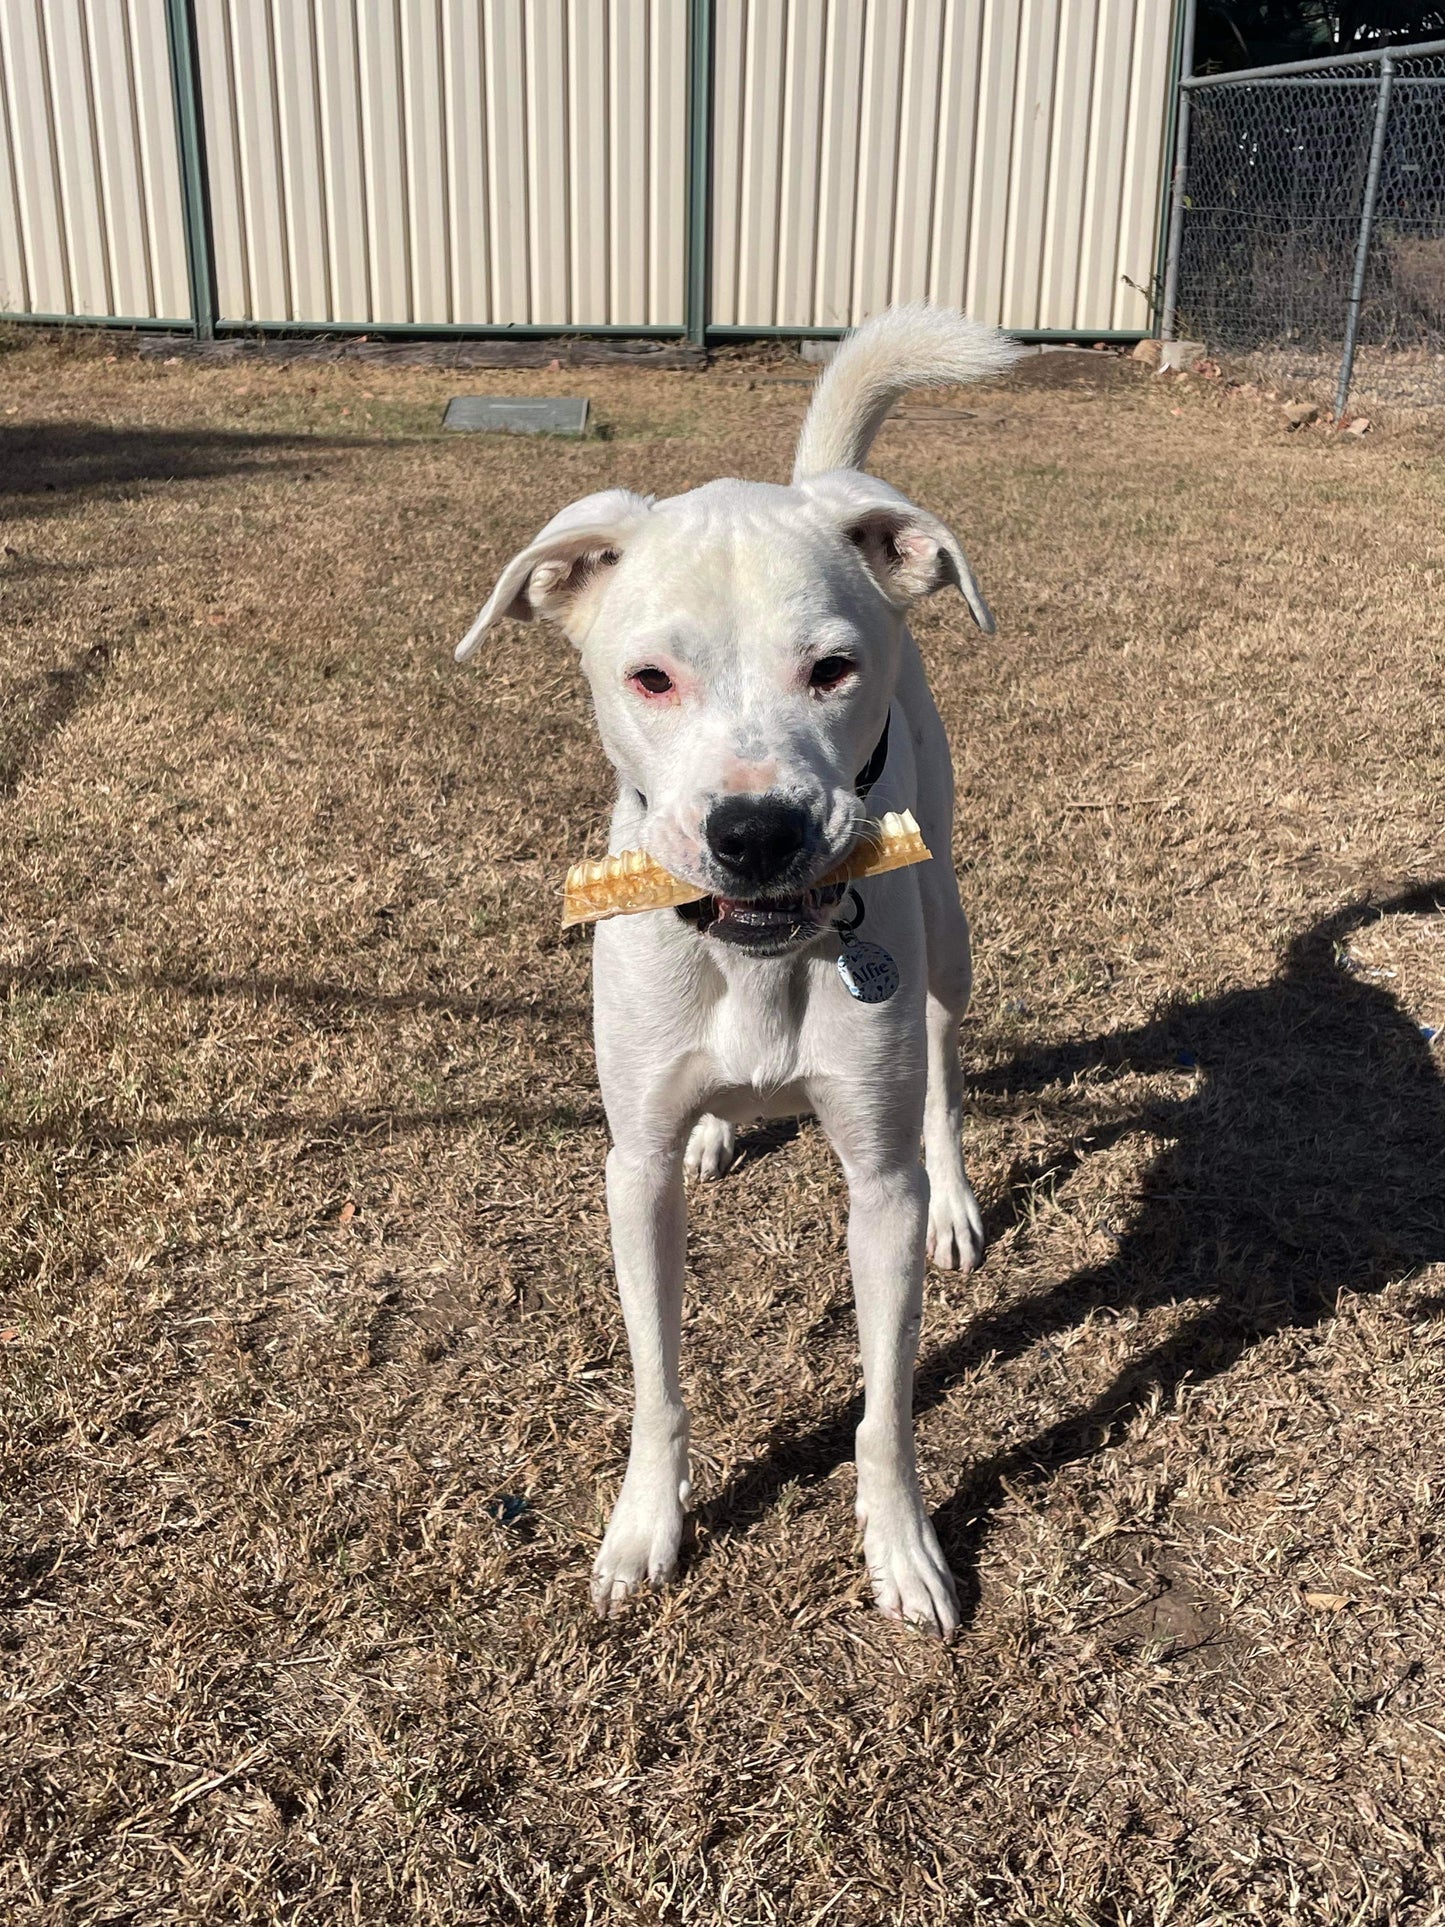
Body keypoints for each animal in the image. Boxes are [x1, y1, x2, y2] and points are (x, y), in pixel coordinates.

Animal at [460, 308, 1017, 1634]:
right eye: (648, 678)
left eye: (832, 669)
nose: (754, 833)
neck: (756, 955)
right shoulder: (631, 1171)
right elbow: (657, 1378)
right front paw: (642, 1531)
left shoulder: (874, 1186)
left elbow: (884, 1408)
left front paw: (902, 1549)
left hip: (947, 932)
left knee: (945, 1069)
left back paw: (961, 1197)